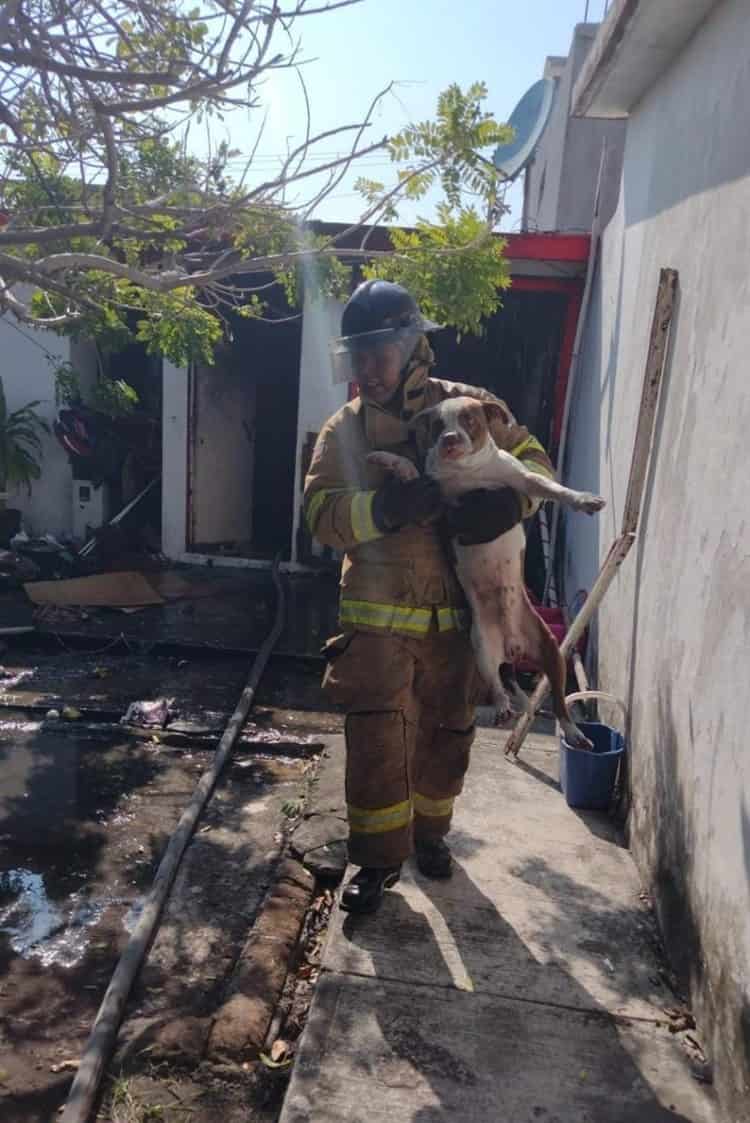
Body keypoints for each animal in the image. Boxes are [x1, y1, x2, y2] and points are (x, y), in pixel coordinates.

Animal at [372, 399, 606, 750]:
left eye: (469, 419)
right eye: (438, 424)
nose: (449, 439)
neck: (470, 472)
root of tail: (513, 645)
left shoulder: (523, 482)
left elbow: (552, 488)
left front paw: (583, 499)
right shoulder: (437, 506)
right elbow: (411, 471)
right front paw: (388, 459)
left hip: (554, 652)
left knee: (560, 705)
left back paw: (574, 732)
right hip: (482, 646)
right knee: (497, 683)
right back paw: (503, 706)